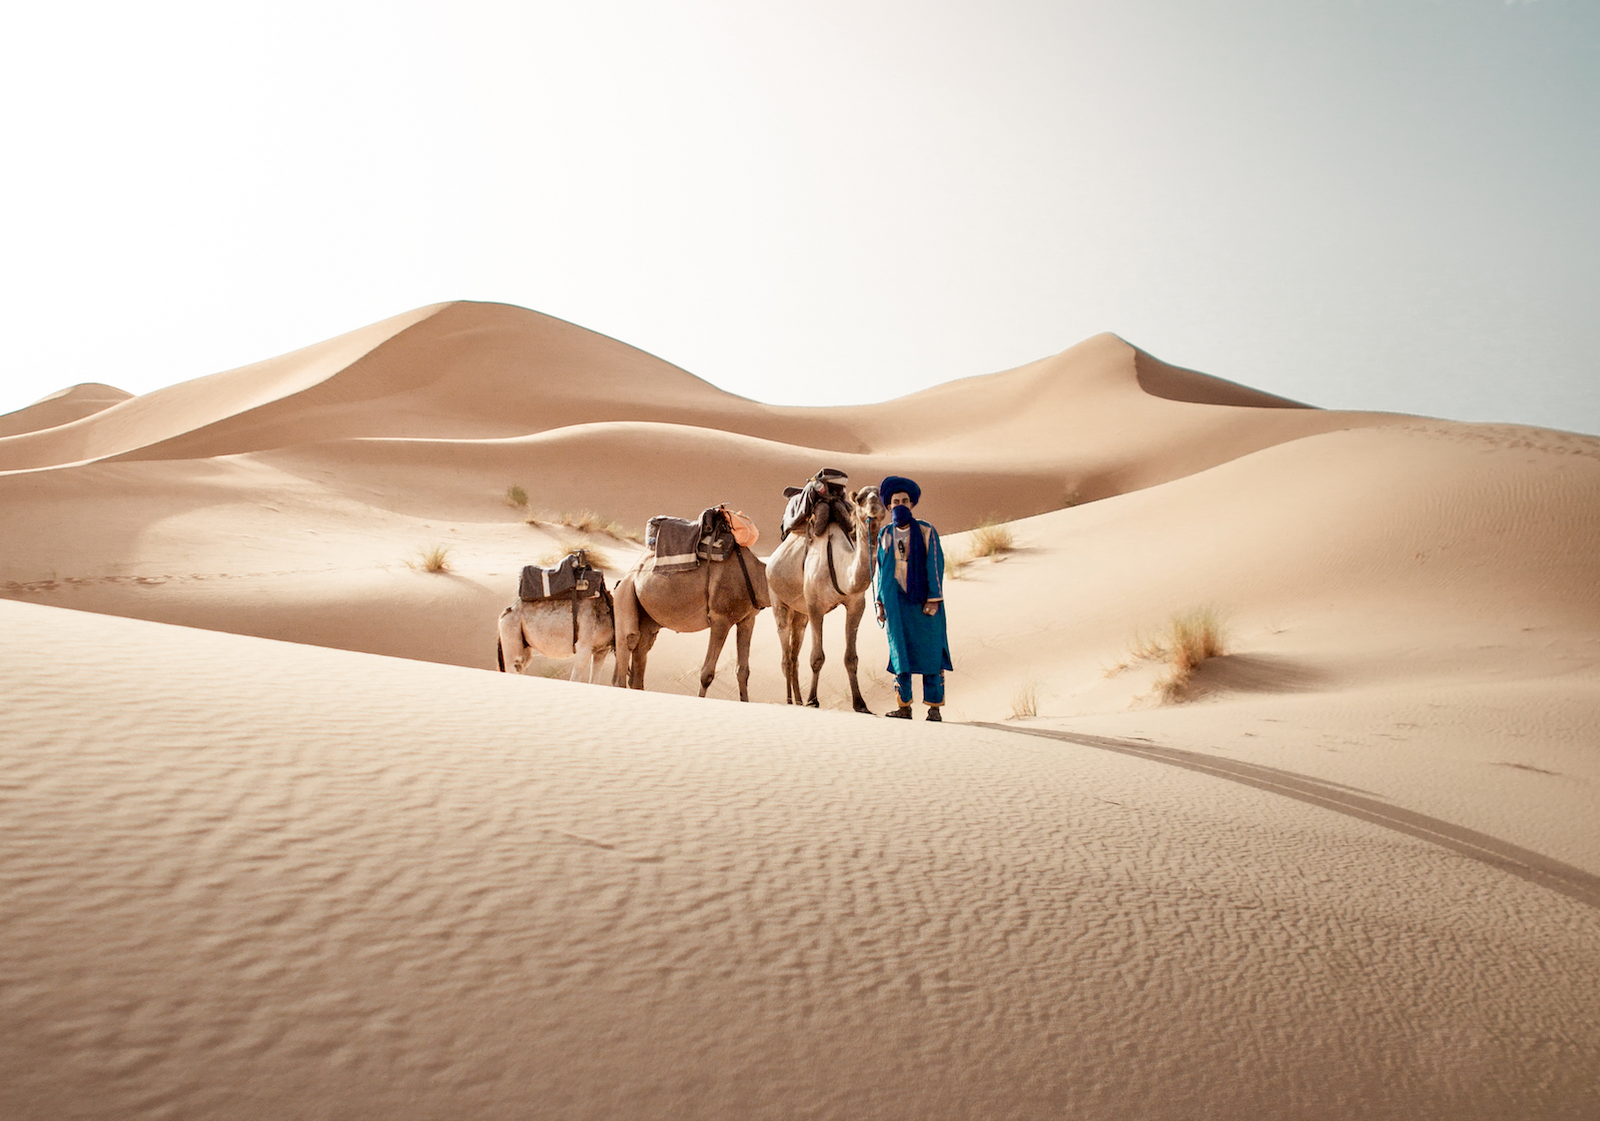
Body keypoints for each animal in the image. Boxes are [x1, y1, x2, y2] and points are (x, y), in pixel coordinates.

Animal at [608, 534, 771, 700]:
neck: (757, 578)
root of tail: (625, 578)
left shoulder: (747, 619)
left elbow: (743, 672)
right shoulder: (721, 619)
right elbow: (706, 674)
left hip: (646, 617)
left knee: (639, 661)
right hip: (625, 593)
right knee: (628, 644)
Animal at [764, 486, 889, 713]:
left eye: (881, 496)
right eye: (860, 499)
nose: (875, 507)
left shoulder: (856, 604)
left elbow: (851, 658)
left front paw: (860, 704)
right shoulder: (815, 606)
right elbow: (817, 657)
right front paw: (813, 701)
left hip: (801, 615)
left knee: (794, 656)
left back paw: (798, 701)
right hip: (777, 599)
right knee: (786, 656)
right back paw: (790, 701)